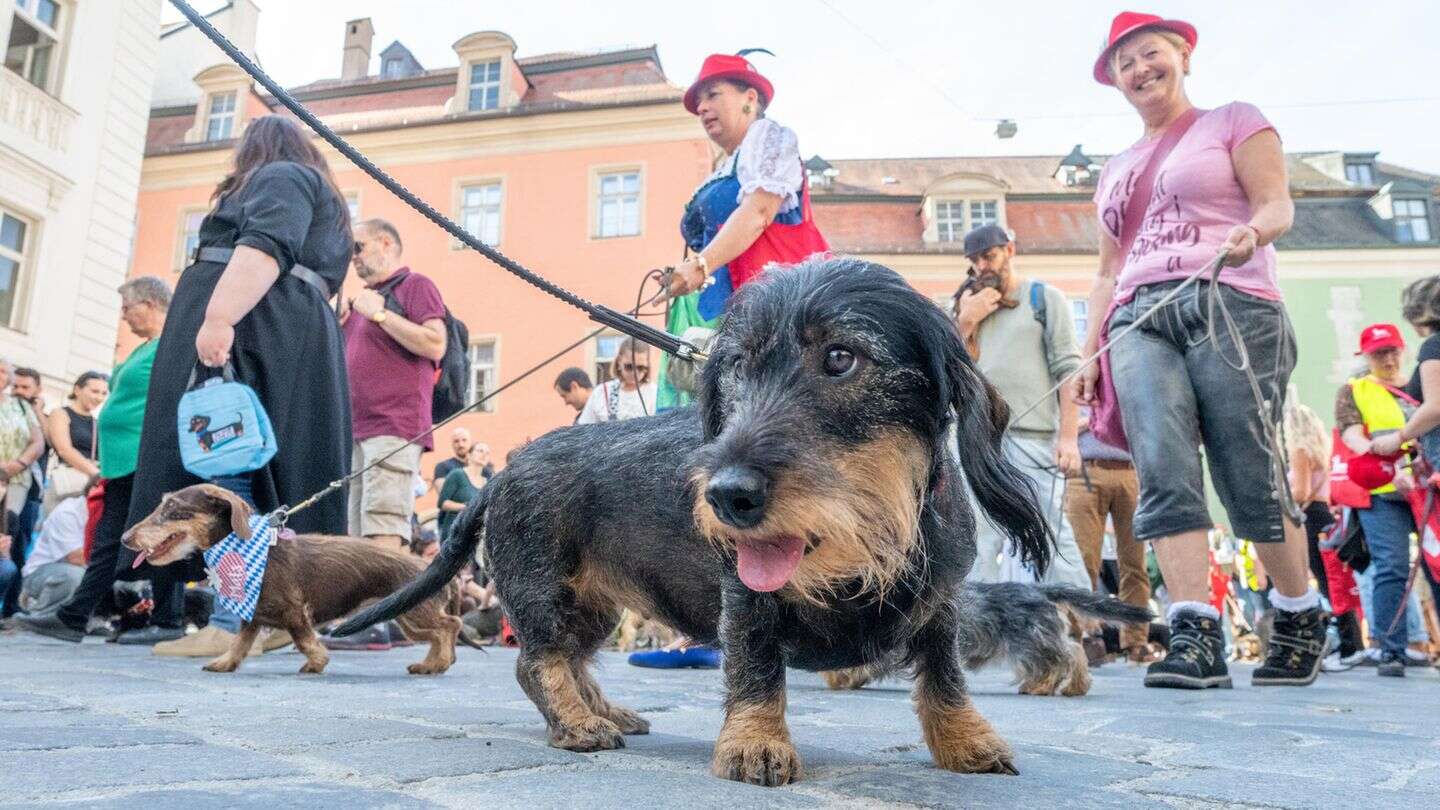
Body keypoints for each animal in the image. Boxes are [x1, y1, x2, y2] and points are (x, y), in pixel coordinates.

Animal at [119, 484, 478, 674]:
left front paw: (317, 662)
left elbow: (304, 640)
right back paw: (434, 663)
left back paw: (438, 662)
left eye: (172, 509)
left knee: (450, 625)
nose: (125, 539)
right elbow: (240, 642)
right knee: (439, 632)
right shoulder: (252, 615)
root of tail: (437, 565)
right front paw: (224, 662)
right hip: (405, 616)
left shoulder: (294, 611)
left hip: (416, 613)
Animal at [339, 257, 1059, 784]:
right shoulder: (746, 598)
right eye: (736, 364)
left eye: (841, 357)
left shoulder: (941, 605)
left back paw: (608, 710)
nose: (725, 497)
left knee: (574, 658)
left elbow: (944, 676)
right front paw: (756, 744)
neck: (861, 551)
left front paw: (966, 741)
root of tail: (505, 471)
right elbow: (755, 668)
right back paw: (578, 725)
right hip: (542, 590)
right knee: (539, 661)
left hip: (593, 606)